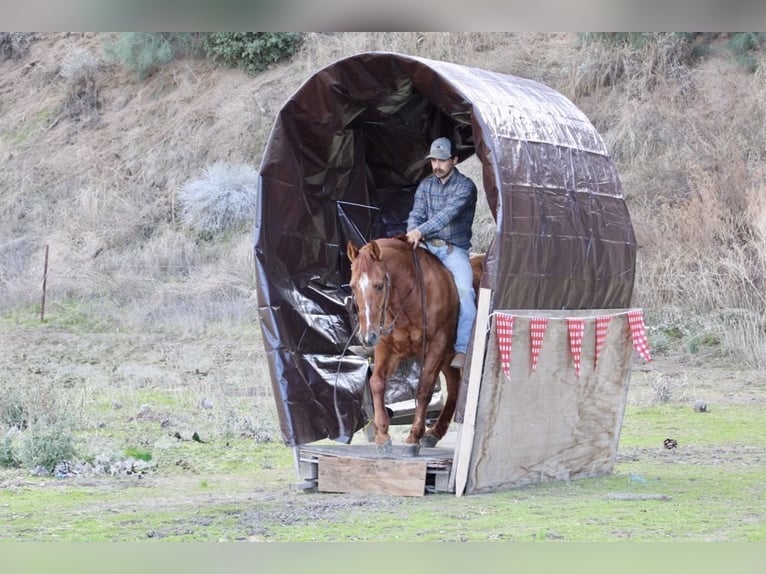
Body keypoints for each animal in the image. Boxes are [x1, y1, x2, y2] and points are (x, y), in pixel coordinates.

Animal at [346, 234, 483, 455]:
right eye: (352, 286)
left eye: (379, 285)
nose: (368, 337)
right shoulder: (386, 348)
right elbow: (377, 383)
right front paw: (382, 436)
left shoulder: (436, 348)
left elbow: (424, 389)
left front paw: (413, 437)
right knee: (455, 387)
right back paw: (434, 434)